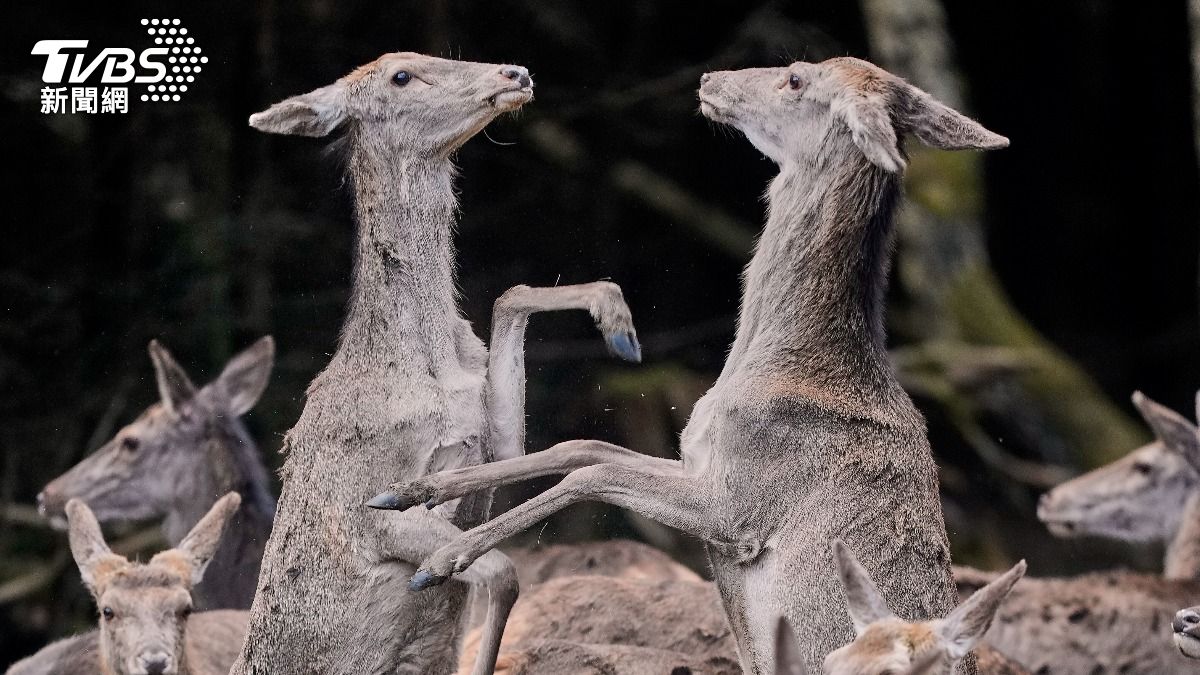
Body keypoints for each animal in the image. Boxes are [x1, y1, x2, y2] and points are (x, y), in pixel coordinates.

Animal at [231, 52, 641, 675]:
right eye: (401, 75)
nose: (515, 73)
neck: (433, 367)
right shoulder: (365, 513)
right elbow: (502, 572)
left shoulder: (492, 443)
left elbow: (510, 297)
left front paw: (616, 319)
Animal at [368, 56, 1008, 674]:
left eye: (796, 77)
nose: (710, 78)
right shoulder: (698, 461)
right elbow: (582, 447)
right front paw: (407, 491)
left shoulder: (742, 508)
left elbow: (593, 472)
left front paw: (444, 557)